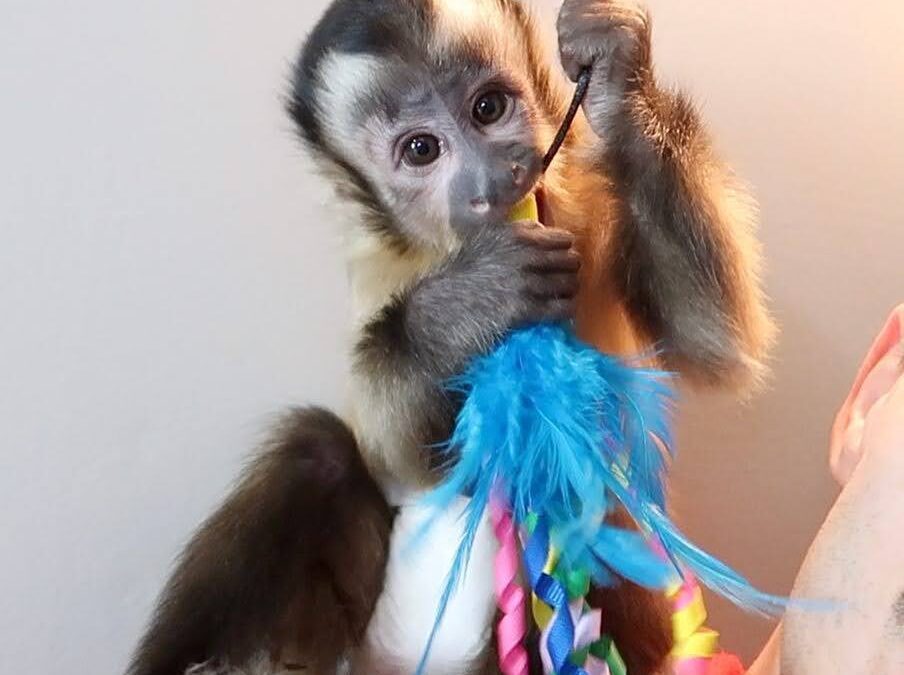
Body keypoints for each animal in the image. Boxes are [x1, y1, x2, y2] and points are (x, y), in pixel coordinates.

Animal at [126, 1, 774, 674]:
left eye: (488, 108)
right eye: (421, 149)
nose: (492, 178)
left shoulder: (592, 201)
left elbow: (716, 346)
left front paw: (618, 76)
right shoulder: (376, 269)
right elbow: (404, 458)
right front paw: (468, 303)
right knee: (319, 452)